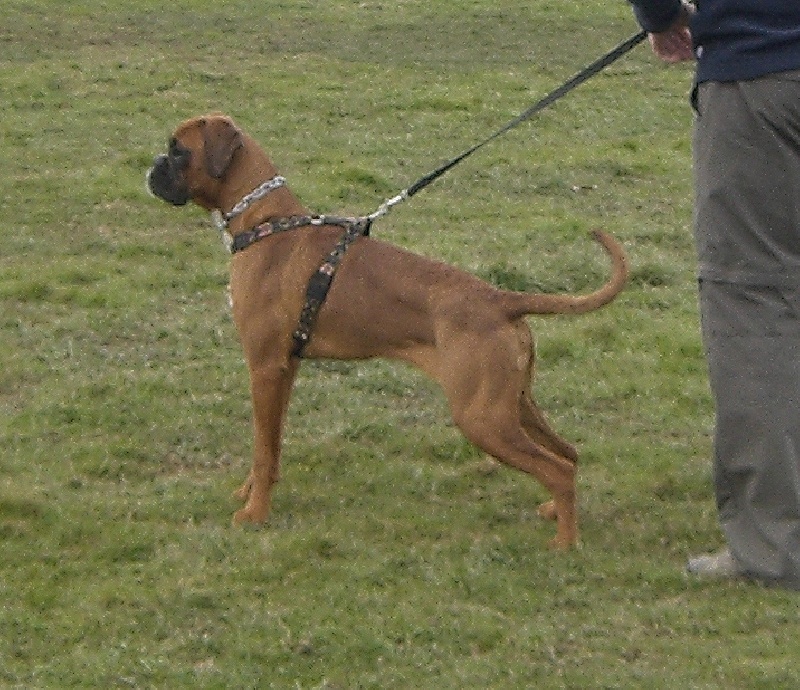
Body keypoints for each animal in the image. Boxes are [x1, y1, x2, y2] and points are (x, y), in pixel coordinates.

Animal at [147, 114, 628, 548]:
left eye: (178, 149)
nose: (151, 168)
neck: (267, 223)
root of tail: (500, 298)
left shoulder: (264, 367)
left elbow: (263, 451)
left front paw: (255, 514)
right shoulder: (284, 370)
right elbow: (271, 446)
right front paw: (251, 495)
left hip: (482, 418)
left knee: (557, 468)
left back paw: (565, 543)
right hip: (515, 405)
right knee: (568, 454)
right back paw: (554, 512)